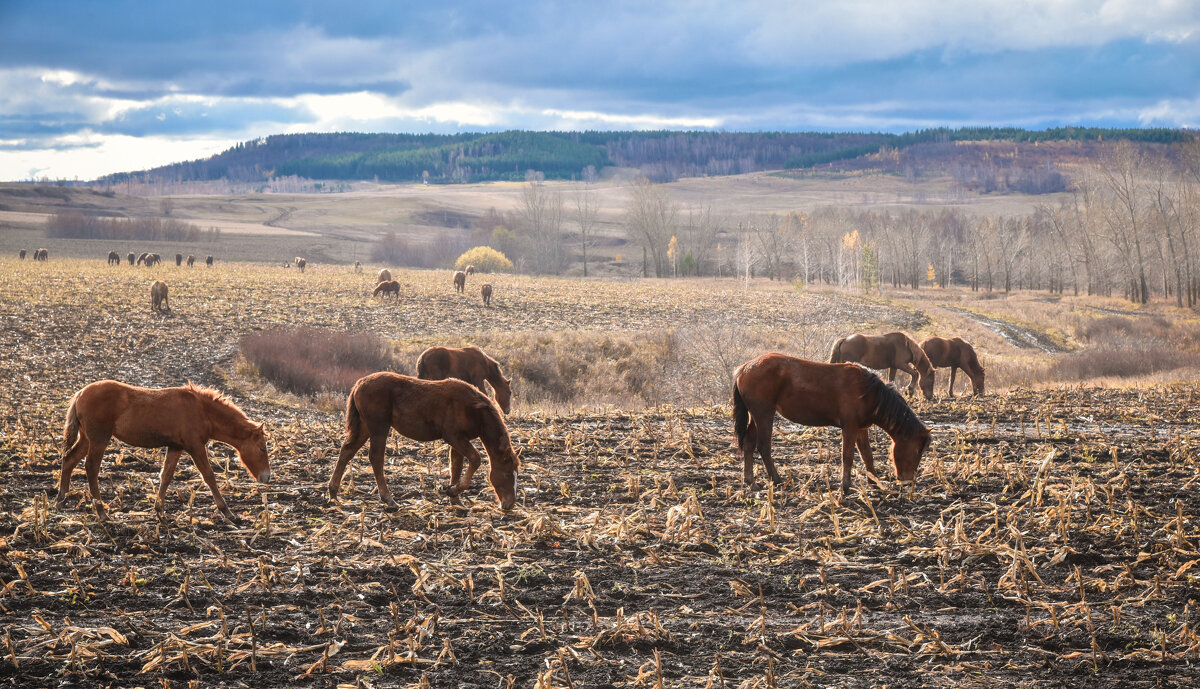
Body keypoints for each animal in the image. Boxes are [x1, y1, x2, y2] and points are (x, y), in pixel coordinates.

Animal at [55, 384, 270, 523]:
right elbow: (209, 476)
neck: (201, 410)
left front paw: (159, 510)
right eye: (262, 448)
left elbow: (166, 476)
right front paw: (228, 512)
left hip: (87, 439)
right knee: (91, 468)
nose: (267, 477)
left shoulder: (176, 447)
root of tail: (80, 394)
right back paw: (101, 512)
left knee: (69, 460)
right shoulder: (195, 446)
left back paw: (60, 500)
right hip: (99, 439)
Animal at [328, 372, 520, 513]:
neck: (474, 409)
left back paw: (333, 492)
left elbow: (456, 466)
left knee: (346, 451)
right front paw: (453, 491)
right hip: (378, 428)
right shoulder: (454, 437)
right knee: (376, 458)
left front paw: (455, 499)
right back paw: (388, 499)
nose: (509, 504)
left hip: (365, 428)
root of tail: (359, 383)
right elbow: (475, 459)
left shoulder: (459, 440)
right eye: (507, 474)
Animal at [724, 355, 931, 496]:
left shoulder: (861, 429)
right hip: (764, 415)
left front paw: (874, 483)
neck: (869, 392)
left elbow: (867, 456)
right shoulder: (850, 428)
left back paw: (751, 482)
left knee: (749, 445)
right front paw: (845, 487)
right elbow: (847, 456)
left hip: (756, 416)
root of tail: (745, 368)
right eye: (916, 451)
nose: (908, 481)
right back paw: (776, 479)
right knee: (763, 447)